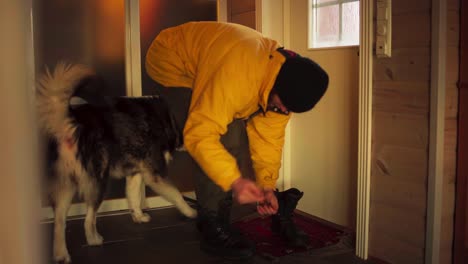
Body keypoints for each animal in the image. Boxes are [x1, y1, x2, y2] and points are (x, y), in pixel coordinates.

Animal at [36, 63, 197, 262]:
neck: (166, 119)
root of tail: (71, 121)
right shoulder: (155, 175)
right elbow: (177, 194)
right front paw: (190, 212)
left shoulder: (135, 173)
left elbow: (133, 197)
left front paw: (138, 216)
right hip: (98, 182)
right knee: (88, 220)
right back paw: (94, 240)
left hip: (65, 186)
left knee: (59, 222)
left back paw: (61, 255)